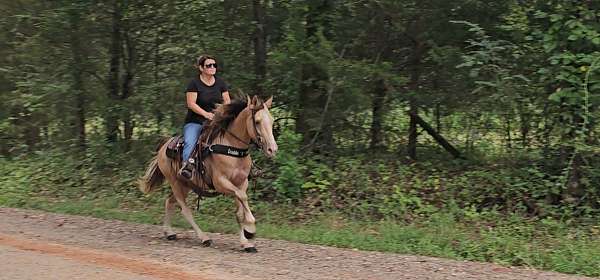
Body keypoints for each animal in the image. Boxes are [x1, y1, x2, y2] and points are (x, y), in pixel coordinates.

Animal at [138, 95, 276, 252]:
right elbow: (243, 197)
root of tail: (164, 147)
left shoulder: (241, 183)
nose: (272, 149)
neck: (232, 148)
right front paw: (250, 229)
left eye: (272, 120)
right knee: (185, 210)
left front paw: (246, 242)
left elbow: (239, 211)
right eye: (257, 121)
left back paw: (169, 232)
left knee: (169, 201)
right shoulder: (221, 182)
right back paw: (204, 238)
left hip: (185, 184)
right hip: (175, 183)